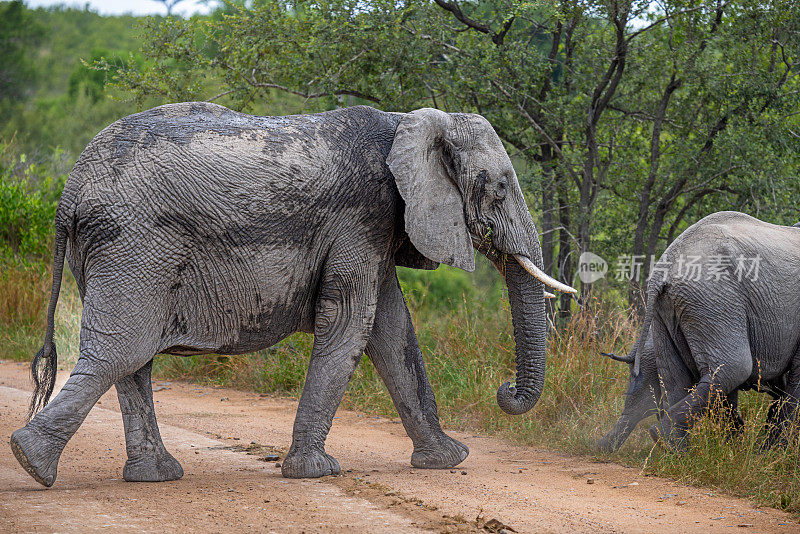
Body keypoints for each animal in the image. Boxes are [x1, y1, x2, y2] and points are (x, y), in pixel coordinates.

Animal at [10, 101, 576, 490]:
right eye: (499, 186)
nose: (504, 390)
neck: (406, 123)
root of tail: (69, 190)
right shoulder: (362, 215)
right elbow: (350, 323)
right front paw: (315, 472)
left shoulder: (376, 226)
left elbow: (392, 332)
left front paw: (448, 460)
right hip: (134, 243)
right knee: (121, 351)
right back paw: (31, 463)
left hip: (113, 251)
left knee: (132, 359)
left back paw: (154, 475)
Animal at [596, 211, 796, 454]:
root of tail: (662, 270)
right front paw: (772, 453)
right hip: (714, 298)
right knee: (733, 369)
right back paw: (672, 443)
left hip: (669, 314)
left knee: (675, 380)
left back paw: (676, 450)